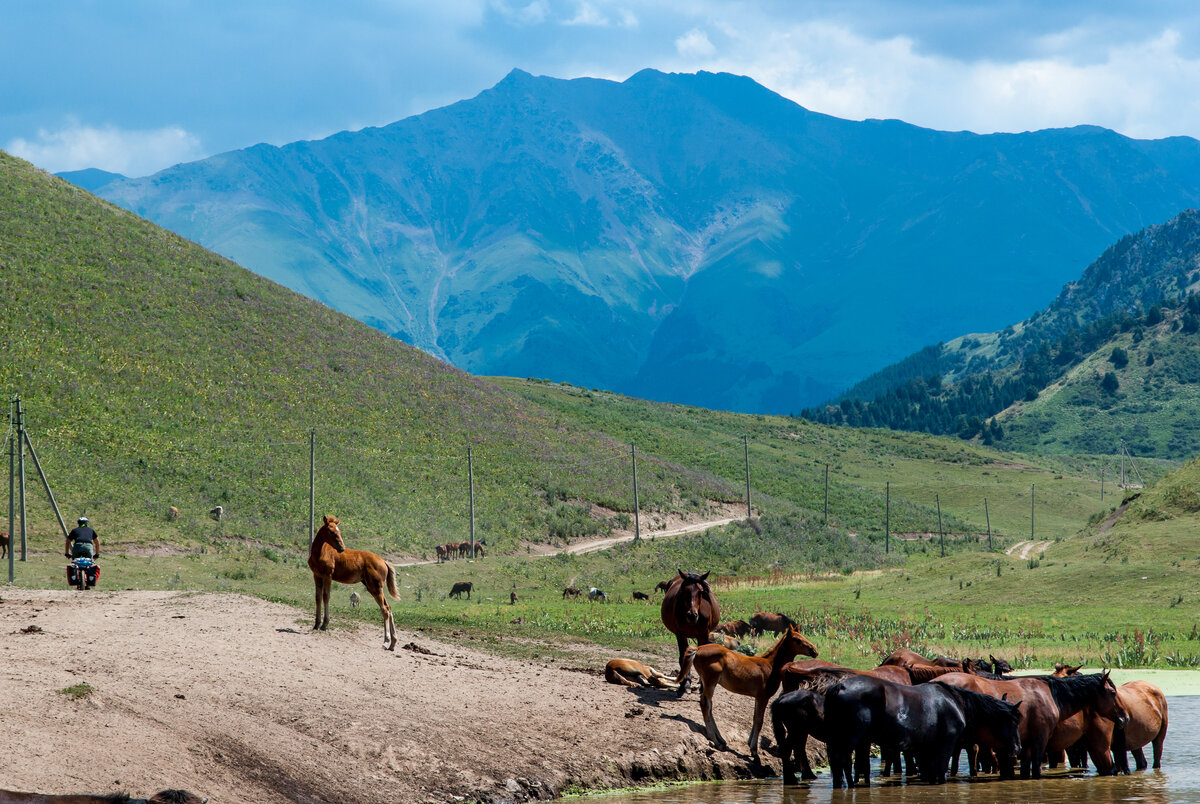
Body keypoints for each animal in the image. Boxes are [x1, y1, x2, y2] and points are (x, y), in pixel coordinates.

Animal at [307, 516, 400, 652]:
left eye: (339, 531)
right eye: (332, 531)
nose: (341, 548)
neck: (320, 552)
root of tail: (384, 561)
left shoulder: (328, 576)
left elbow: (326, 597)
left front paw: (324, 624)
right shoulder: (316, 575)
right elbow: (318, 597)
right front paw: (316, 624)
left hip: (375, 586)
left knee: (385, 609)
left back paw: (386, 641)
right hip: (371, 586)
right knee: (389, 607)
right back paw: (392, 643)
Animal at [676, 624, 816, 763]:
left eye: (803, 636)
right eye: (797, 639)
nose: (815, 650)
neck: (771, 666)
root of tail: (698, 648)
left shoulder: (757, 698)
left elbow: (754, 718)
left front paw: (750, 744)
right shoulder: (763, 697)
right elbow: (759, 721)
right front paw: (754, 751)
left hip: (708, 684)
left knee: (708, 706)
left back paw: (720, 739)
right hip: (710, 682)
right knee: (705, 704)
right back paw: (715, 740)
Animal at [825, 676, 1022, 792]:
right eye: (1014, 721)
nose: (1018, 747)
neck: (955, 703)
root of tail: (840, 686)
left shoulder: (927, 748)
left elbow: (930, 773)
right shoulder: (945, 745)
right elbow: (941, 771)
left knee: (837, 763)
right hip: (850, 739)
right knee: (843, 761)